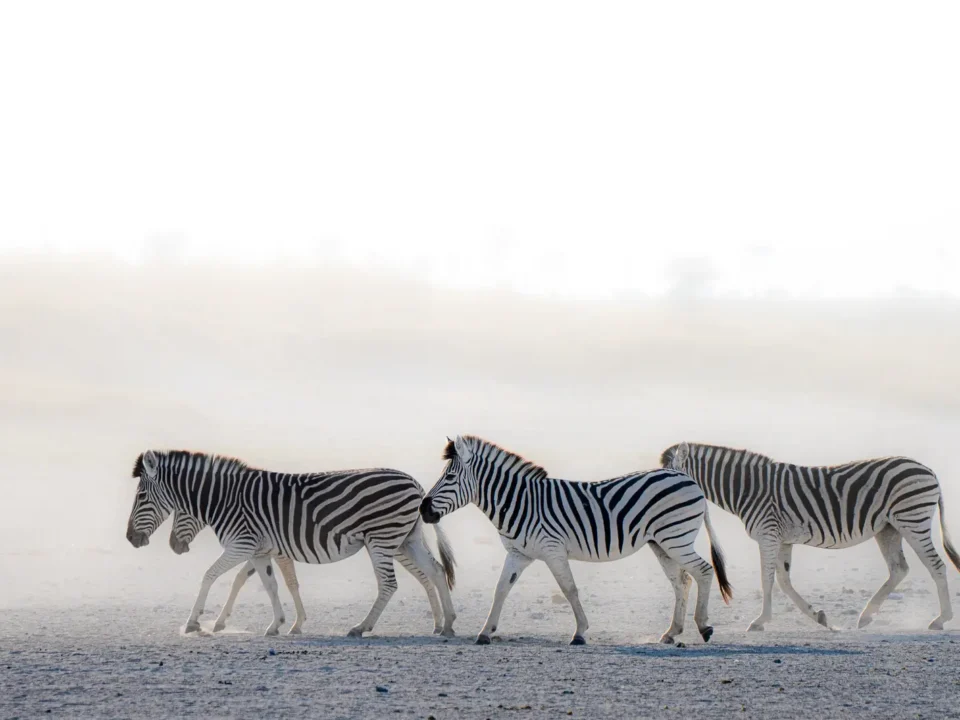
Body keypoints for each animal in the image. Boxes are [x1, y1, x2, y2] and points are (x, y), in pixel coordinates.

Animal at [126, 450, 457, 637]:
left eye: (141, 497)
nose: (130, 538)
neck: (226, 499)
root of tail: (415, 483)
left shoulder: (242, 545)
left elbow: (210, 576)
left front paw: (194, 623)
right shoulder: (260, 551)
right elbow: (274, 585)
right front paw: (279, 624)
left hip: (382, 539)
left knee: (389, 584)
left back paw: (361, 627)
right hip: (406, 539)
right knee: (436, 571)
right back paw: (448, 624)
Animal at [420, 435, 732, 645]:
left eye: (449, 477)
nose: (423, 509)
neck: (521, 502)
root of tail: (680, 472)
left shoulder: (553, 550)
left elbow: (569, 589)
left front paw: (580, 632)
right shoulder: (518, 554)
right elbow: (500, 590)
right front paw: (485, 632)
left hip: (675, 538)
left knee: (704, 571)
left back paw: (703, 627)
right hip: (662, 544)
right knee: (682, 581)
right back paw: (671, 632)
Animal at [661, 442, 960, 631]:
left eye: (672, 474)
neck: (747, 489)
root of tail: (928, 469)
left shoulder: (768, 535)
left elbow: (767, 580)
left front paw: (759, 621)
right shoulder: (782, 539)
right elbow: (783, 581)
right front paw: (819, 617)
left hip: (912, 520)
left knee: (936, 565)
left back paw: (941, 619)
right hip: (888, 528)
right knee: (899, 569)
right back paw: (866, 616)